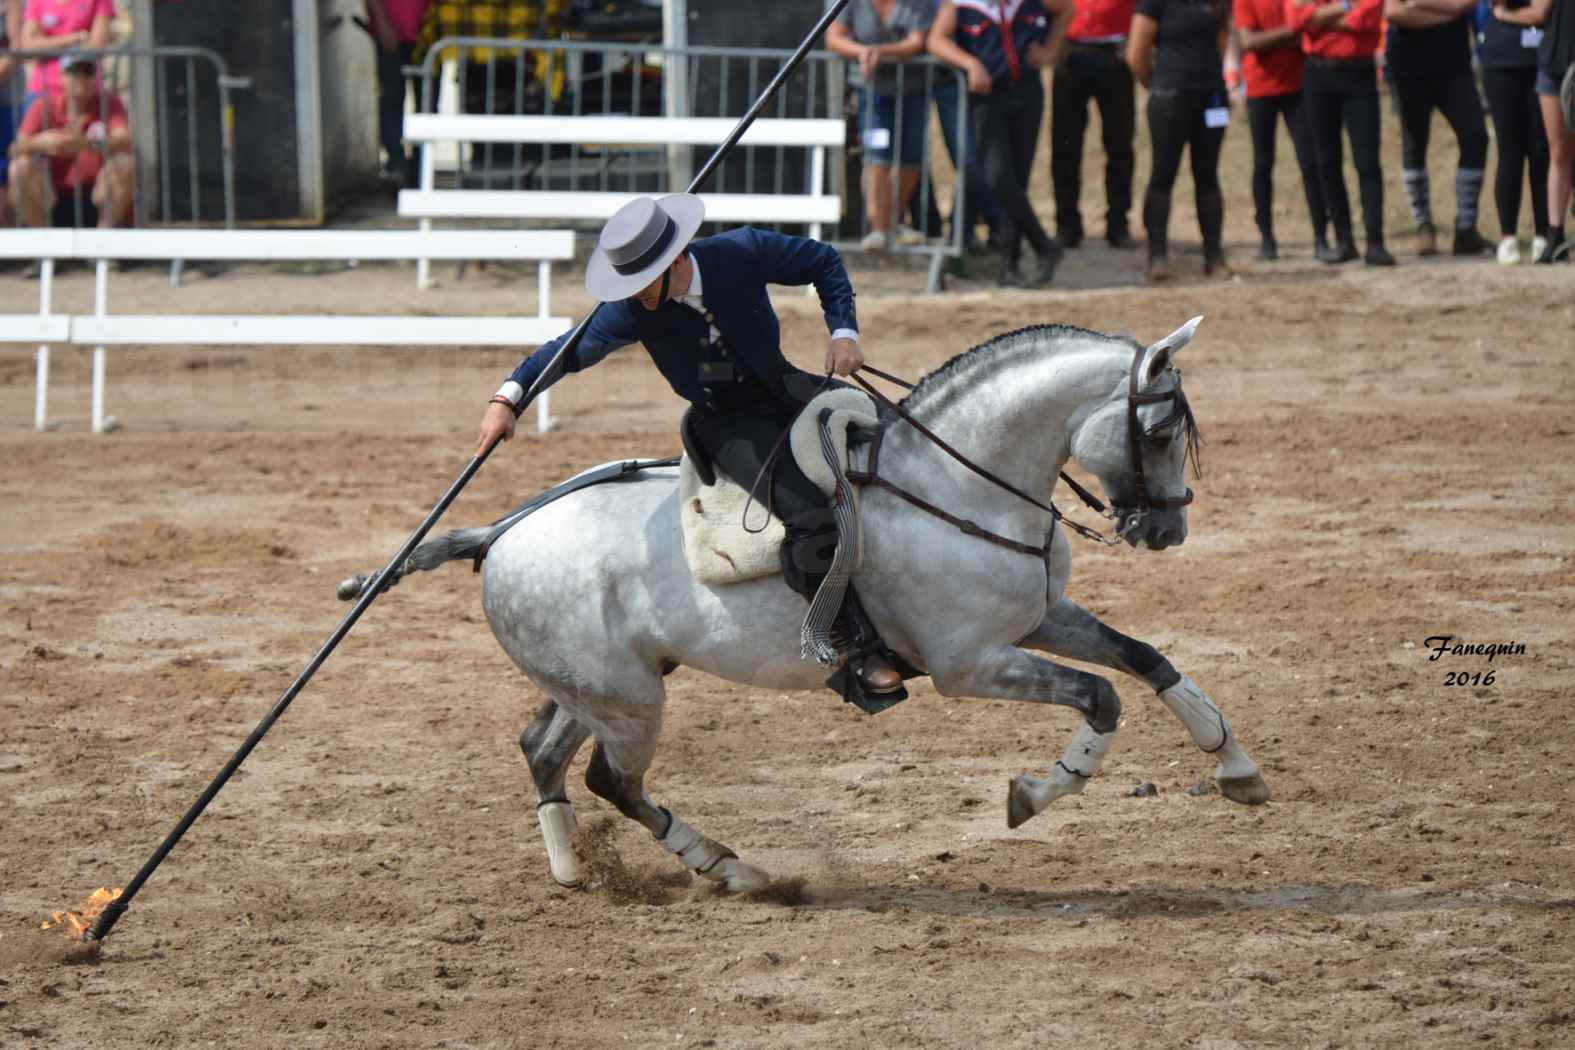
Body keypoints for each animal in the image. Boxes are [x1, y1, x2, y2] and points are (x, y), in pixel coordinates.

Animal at [365, 317, 1266, 887]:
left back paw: (573, 871)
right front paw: (1035, 795)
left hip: (595, 685)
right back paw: (733, 868)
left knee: (543, 751)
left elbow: (1147, 661)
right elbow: (1100, 696)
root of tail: (500, 531)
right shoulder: (969, 664)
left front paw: (1237, 768)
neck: (957, 483)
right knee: (609, 781)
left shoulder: (1038, 620)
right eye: (1158, 433)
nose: (1168, 528)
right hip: (629, 701)